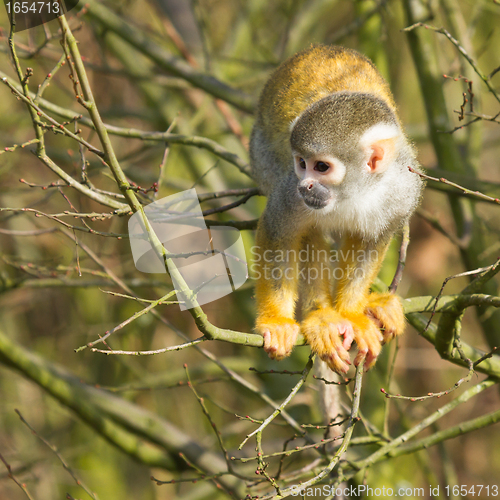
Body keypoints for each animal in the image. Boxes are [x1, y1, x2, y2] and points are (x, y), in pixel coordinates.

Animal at [250, 47, 422, 374]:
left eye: (321, 167)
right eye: (301, 163)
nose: (305, 185)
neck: (358, 191)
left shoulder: (404, 189)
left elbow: (373, 240)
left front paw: (352, 314)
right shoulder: (289, 188)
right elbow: (280, 230)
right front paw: (277, 320)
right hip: (263, 155)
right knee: (308, 231)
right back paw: (322, 317)